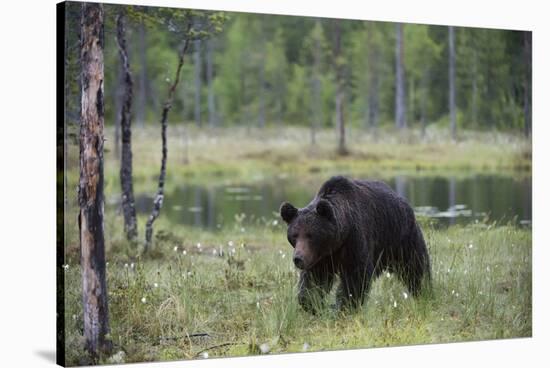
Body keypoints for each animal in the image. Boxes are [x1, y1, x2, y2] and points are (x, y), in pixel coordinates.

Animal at [282, 177, 434, 312]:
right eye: (294, 235)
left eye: (310, 235)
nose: (298, 258)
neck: (336, 241)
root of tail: (404, 201)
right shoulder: (320, 258)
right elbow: (314, 279)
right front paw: (311, 303)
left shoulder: (354, 240)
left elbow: (356, 276)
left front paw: (344, 305)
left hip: (400, 238)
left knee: (415, 267)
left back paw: (424, 291)